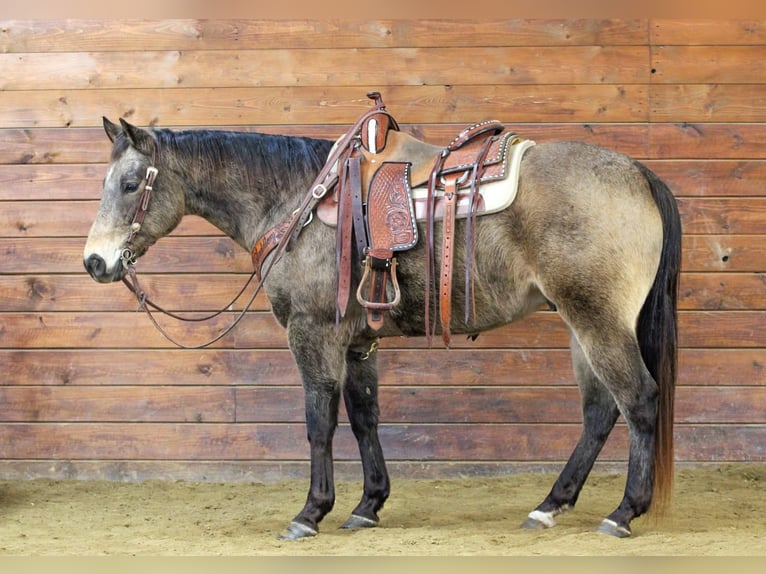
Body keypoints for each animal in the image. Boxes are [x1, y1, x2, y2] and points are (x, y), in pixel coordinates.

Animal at [83, 109, 681, 540]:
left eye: (132, 183)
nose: (95, 262)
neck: (297, 200)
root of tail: (639, 174)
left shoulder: (313, 332)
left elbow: (319, 421)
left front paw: (310, 512)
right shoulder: (358, 344)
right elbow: (364, 418)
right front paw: (367, 504)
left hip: (596, 319)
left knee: (639, 399)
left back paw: (623, 512)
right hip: (581, 324)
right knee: (600, 412)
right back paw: (550, 505)